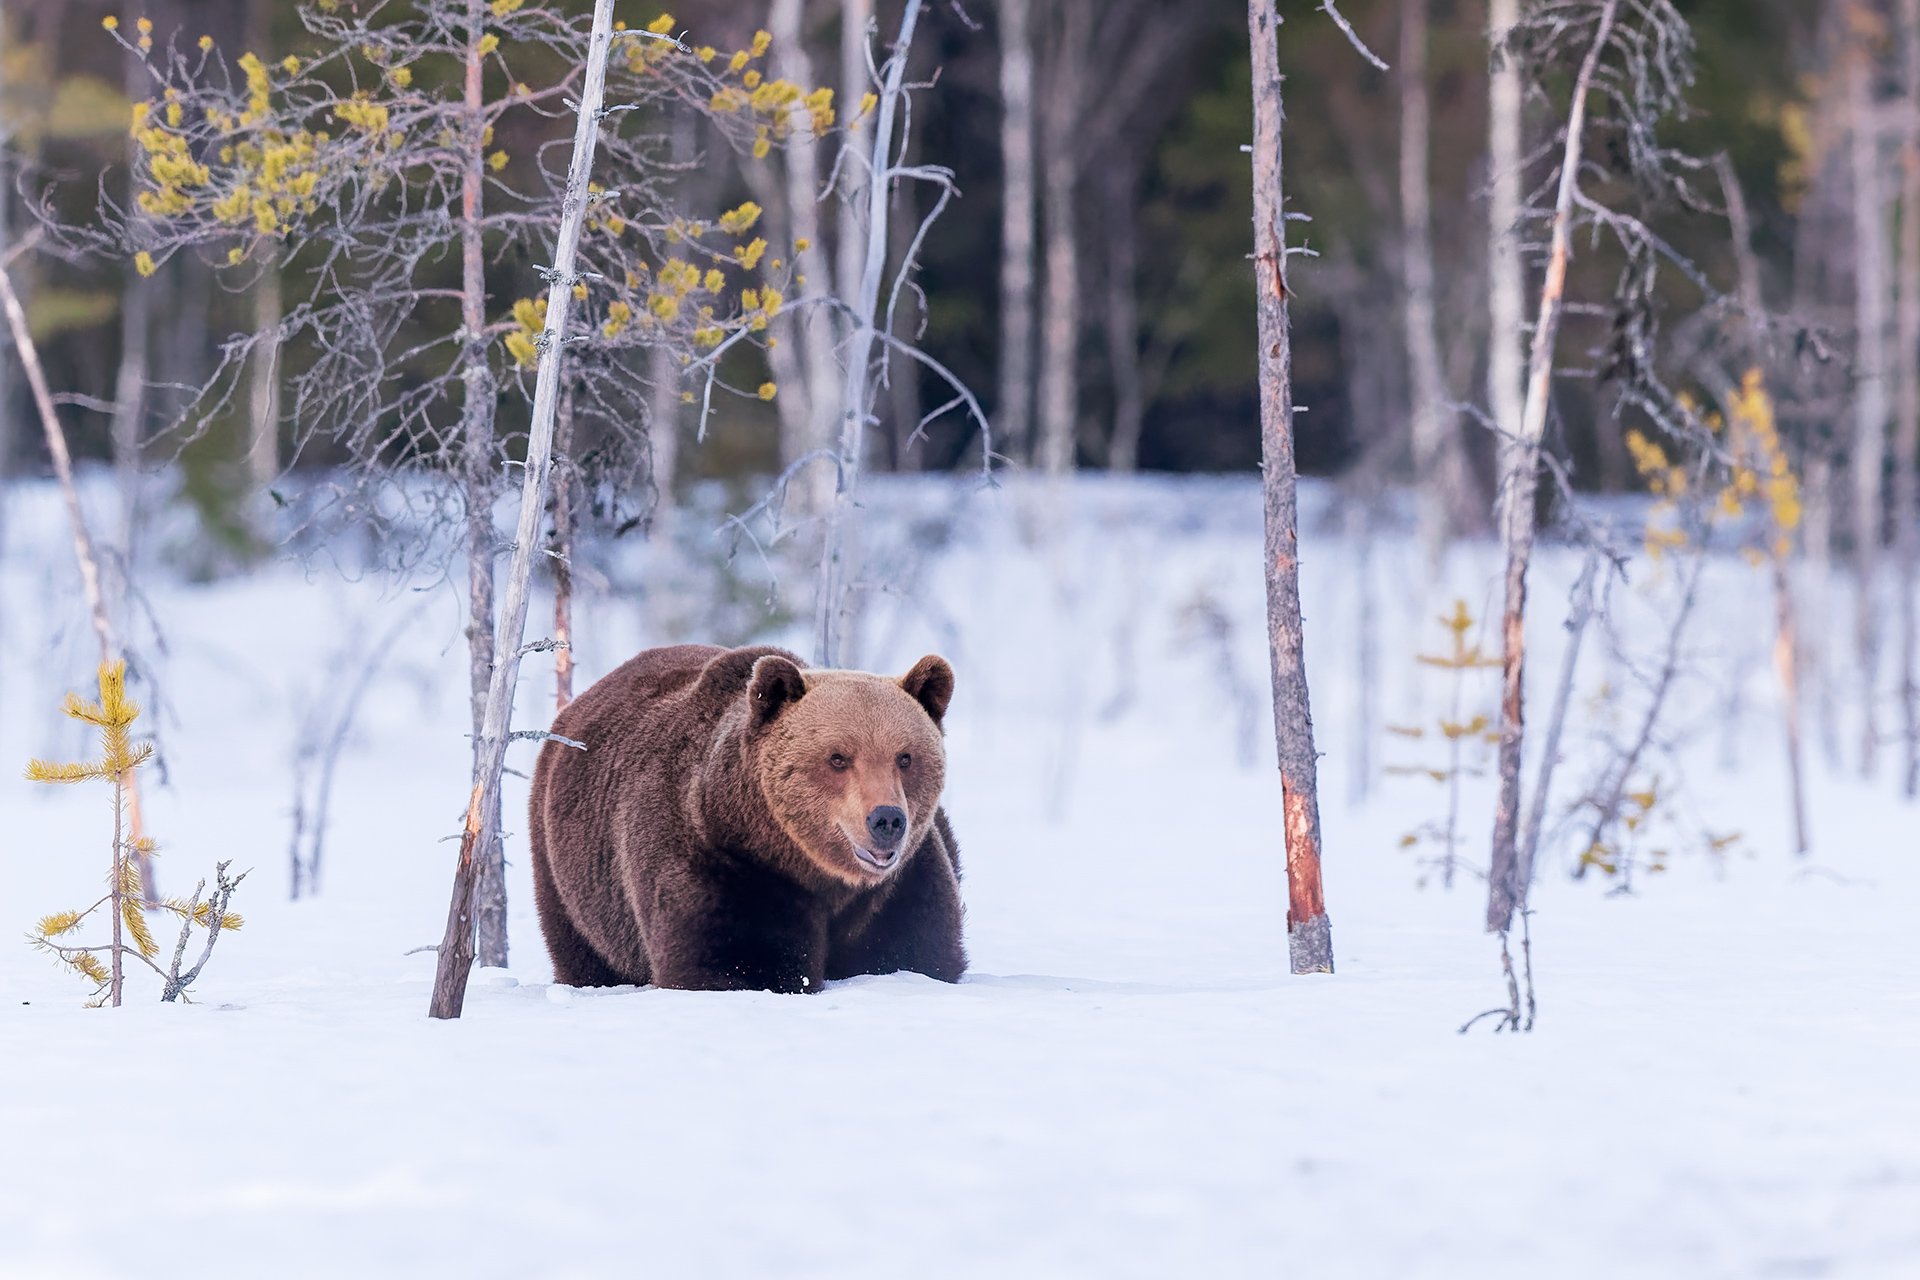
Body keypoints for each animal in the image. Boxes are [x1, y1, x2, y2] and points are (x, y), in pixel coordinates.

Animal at [527, 643, 966, 993]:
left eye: (905, 757)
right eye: (838, 757)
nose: (886, 819)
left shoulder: (898, 885)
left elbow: (916, 951)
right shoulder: (723, 865)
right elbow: (738, 962)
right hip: (574, 876)